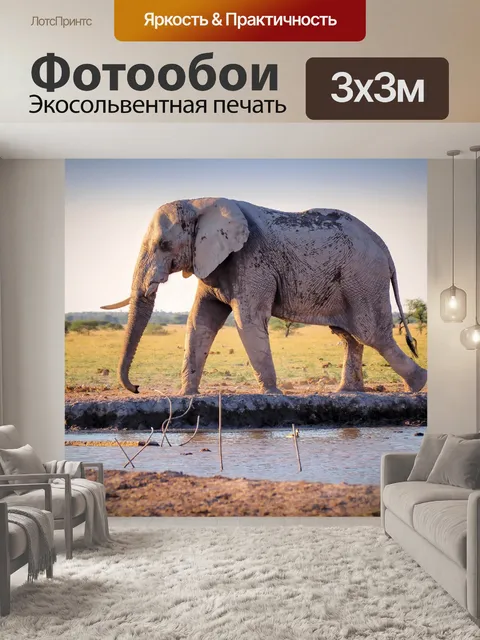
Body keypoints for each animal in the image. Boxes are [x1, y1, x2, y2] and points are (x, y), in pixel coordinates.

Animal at [102, 197, 427, 396]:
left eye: (164, 245)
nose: (137, 388)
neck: (199, 202)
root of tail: (384, 246)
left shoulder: (250, 259)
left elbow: (248, 320)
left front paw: (272, 393)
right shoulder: (215, 262)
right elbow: (200, 321)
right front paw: (187, 395)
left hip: (363, 278)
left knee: (372, 334)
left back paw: (417, 385)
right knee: (350, 335)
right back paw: (347, 392)